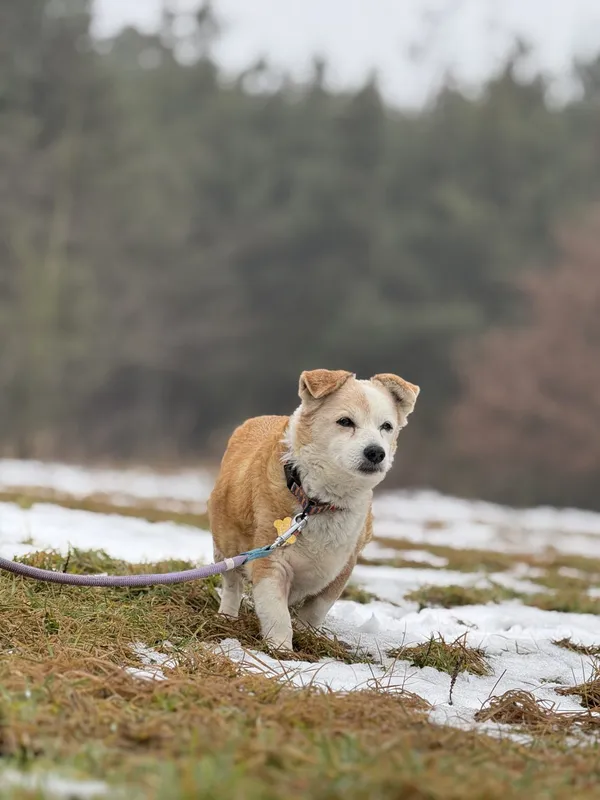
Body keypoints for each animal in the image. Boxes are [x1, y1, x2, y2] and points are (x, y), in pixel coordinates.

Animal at [209, 368, 420, 648]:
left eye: (386, 426)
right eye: (345, 421)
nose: (376, 452)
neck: (318, 503)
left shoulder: (341, 568)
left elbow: (316, 609)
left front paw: (306, 633)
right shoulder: (270, 562)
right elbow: (277, 614)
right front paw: (281, 648)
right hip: (226, 547)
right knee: (232, 586)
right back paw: (227, 616)